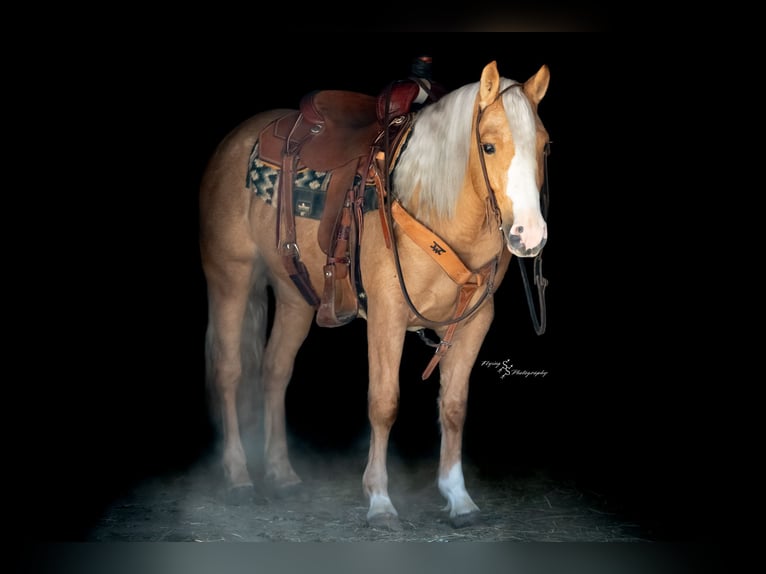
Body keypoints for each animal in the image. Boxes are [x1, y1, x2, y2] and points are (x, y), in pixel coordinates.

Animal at [199, 60, 551, 530]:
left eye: (545, 146)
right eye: (489, 146)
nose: (529, 236)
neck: (432, 206)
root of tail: (235, 141)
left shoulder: (475, 321)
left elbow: (454, 406)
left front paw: (458, 497)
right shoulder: (387, 315)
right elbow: (384, 403)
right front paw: (380, 501)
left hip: (295, 297)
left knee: (275, 371)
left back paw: (282, 473)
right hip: (230, 279)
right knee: (229, 371)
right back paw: (238, 477)